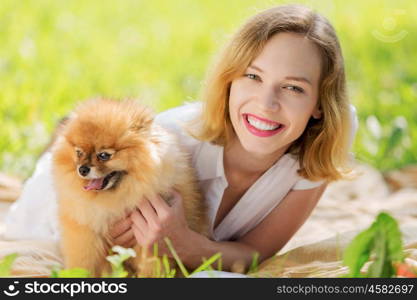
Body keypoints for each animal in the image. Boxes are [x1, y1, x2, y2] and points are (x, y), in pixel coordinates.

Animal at [52, 98, 208, 276]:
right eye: (78, 153)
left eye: (104, 155)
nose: (82, 169)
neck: (114, 199)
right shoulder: (85, 234)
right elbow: (84, 264)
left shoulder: (147, 238)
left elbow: (151, 268)